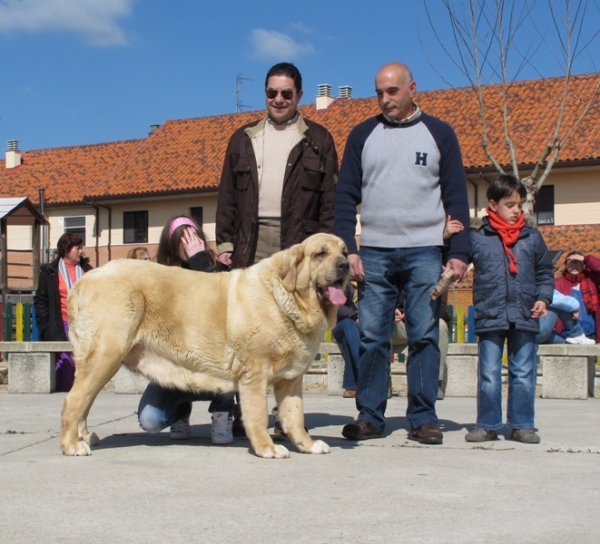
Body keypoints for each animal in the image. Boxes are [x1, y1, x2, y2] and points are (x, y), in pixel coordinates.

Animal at [58, 234, 350, 460]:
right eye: (320, 253)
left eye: (344, 251)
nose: (346, 265)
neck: (286, 299)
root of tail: (84, 281)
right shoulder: (254, 373)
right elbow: (257, 415)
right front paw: (267, 448)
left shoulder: (290, 380)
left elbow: (295, 416)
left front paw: (308, 445)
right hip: (106, 353)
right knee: (74, 399)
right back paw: (72, 446)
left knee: (84, 399)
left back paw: (85, 437)